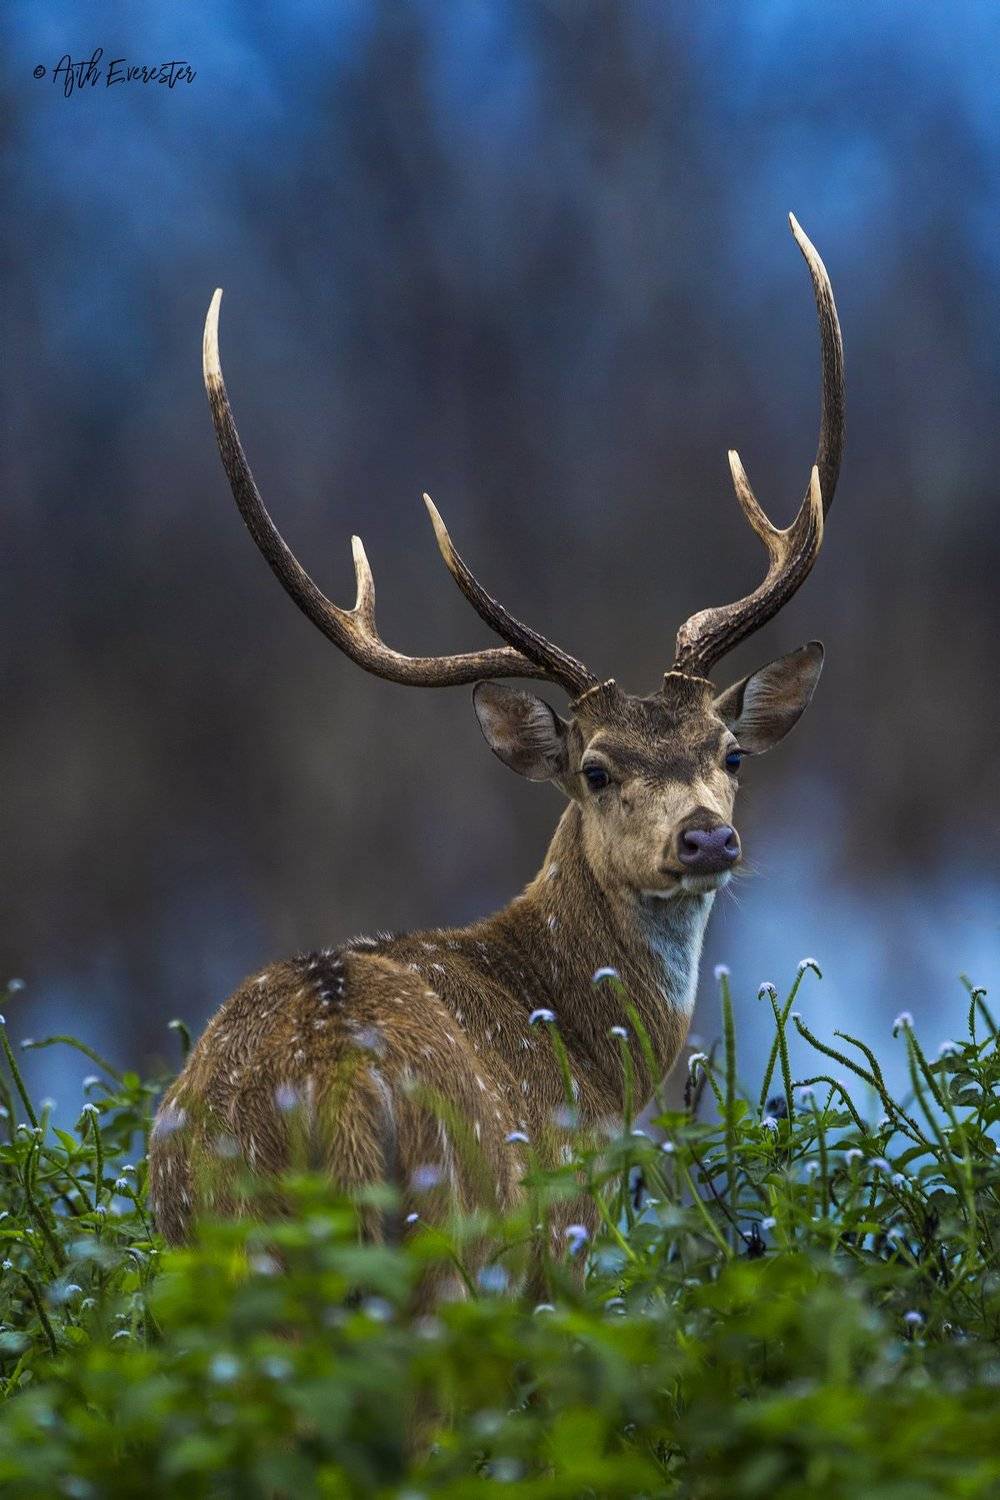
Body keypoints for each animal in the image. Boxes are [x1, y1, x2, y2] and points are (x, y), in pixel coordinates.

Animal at [149, 215, 844, 1271]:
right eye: (594, 770)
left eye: (729, 753)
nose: (705, 839)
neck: (599, 1073)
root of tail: (337, 1084)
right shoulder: (569, 1234)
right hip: (467, 1228)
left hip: (207, 1240)